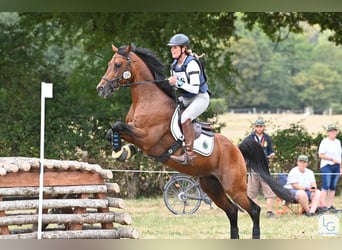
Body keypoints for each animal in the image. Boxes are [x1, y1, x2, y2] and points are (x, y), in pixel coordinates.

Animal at [96, 44, 292, 238]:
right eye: (109, 64)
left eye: (118, 65)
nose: (100, 89)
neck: (148, 101)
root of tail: (237, 150)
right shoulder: (137, 135)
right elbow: (114, 130)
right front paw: (122, 151)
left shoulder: (148, 139)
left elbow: (118, 125)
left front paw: (119, 151)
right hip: (211, 185)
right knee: (232, 210)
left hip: (234, 187)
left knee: (254, 209)